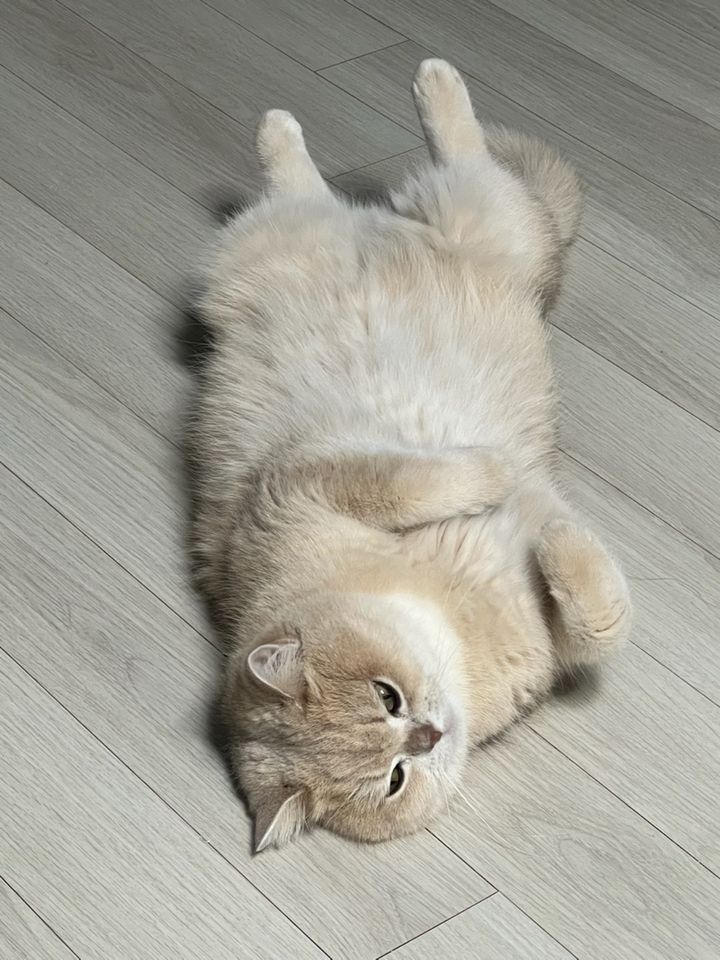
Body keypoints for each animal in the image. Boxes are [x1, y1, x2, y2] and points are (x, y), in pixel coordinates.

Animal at [189, 59, 631, 852]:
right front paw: (544, 526)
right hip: (391, 228)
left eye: (386, 695)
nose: (428, 735)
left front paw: (505, 484)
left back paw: (417, 83)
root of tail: (370, 227)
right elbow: (599, 620)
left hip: (466, 221)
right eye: (395, 778)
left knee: (397, 161)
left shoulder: (303, 484)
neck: (451, 614)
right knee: (342, 180)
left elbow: (411, 478)